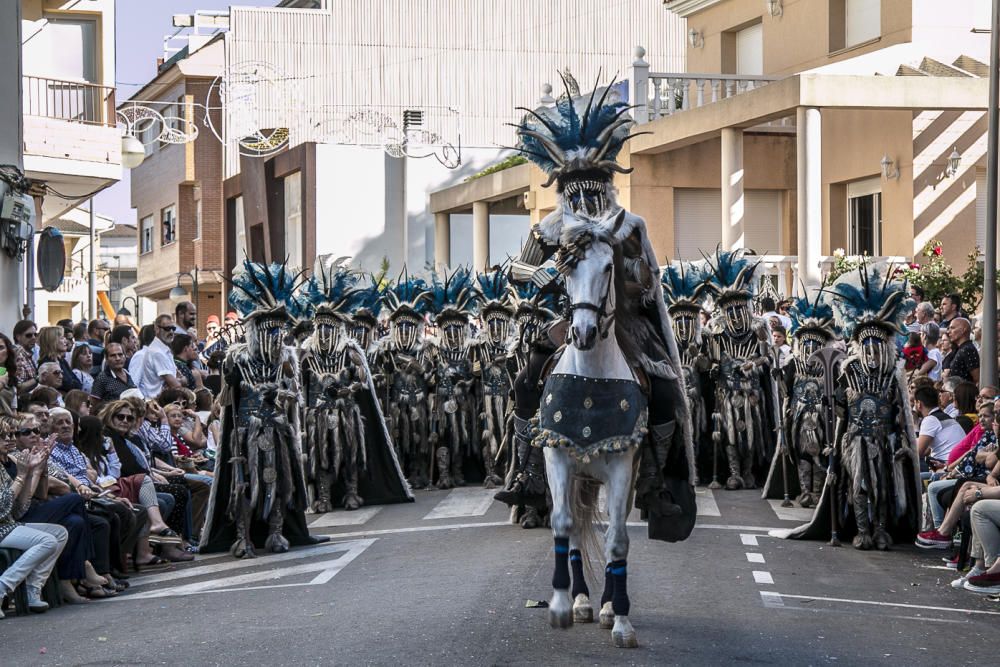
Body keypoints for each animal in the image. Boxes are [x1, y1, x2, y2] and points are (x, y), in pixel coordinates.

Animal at [536, 217, 644, 648]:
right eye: (568, 269)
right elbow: (564, 524)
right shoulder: (558, 456)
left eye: (608, 267)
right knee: (578, 530)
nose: (582, 332)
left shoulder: (622, 467)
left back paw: (607, 605)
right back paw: (581, 600)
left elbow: (618, 540)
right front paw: (561, 605)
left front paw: (621, 619)